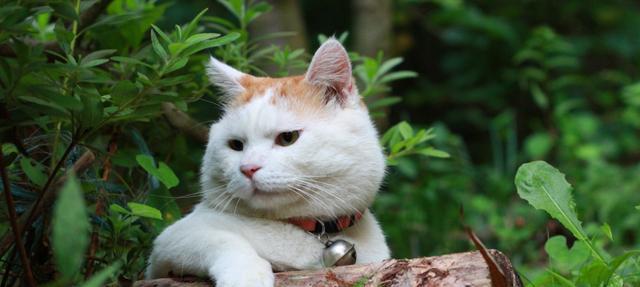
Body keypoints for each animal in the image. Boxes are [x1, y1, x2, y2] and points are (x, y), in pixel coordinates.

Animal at [146, 38, 390, 287]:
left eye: (288, 138)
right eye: (236, 145)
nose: (248, 168)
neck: (310, 231)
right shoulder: (168, 244)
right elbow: (220, 238)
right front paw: (245, 275)